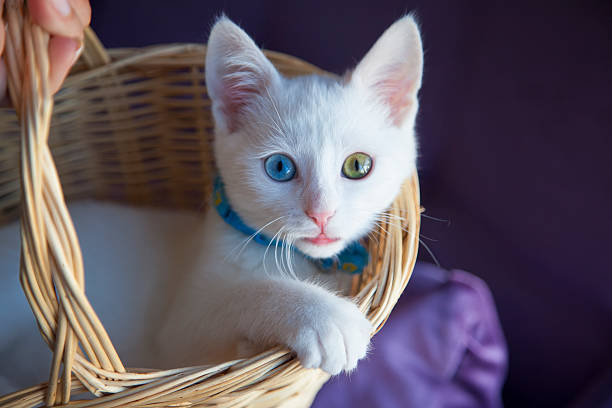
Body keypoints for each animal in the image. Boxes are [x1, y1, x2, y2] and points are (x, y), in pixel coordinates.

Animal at [0, 15, 420, 396]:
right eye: (279, 168)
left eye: (358, 165)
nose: (321, 213)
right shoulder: (177, 334)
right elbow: (241, 296)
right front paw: (323, 315)